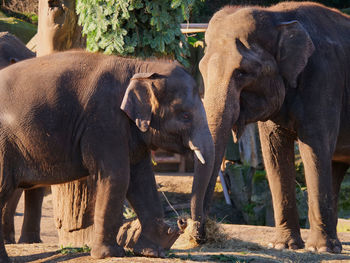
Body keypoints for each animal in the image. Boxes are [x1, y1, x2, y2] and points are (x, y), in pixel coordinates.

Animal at [0, 49, 213, 262]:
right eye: (185, 116)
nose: (183, 221)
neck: (140, 67)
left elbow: (142, 179)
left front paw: (153, 251)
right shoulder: (104, 120)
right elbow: (117, 177)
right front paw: (110, 254)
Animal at [196, 1, 350, 255]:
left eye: (242, 72)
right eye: (201, 70)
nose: (198, 235)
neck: (277, 15)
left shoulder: (324, 80)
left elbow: (315, 150)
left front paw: (318, 250)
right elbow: (274, 153)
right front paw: (283, 245)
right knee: (336, 167)